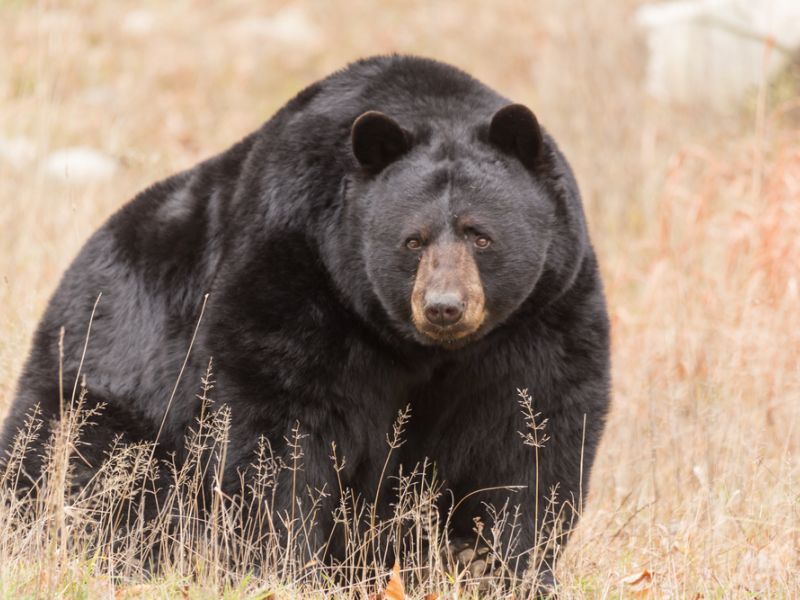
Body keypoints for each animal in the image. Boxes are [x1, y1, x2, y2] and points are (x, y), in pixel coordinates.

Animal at [0, 55, 610, 590]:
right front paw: (286, 565)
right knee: (90, 471)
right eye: (412, 241)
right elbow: (278, 430)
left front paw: (504, 566)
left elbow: (533, 436)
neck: (421, 347)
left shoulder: (542, 314)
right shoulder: (294, 273)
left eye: (480, 235)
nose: (443, 307)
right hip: (102, 391)